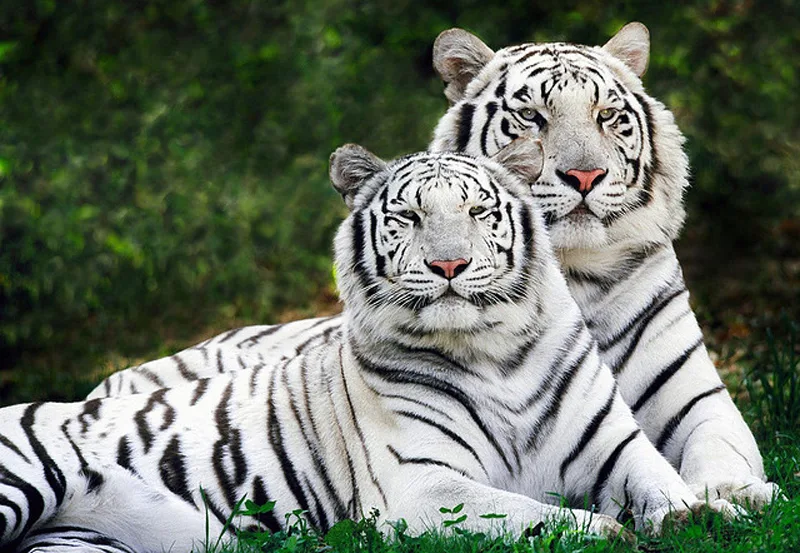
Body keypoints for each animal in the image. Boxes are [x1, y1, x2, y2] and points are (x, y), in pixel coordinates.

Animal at [1, 144, 736, 552]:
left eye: (478, 212)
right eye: (409, 217)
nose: (448, 265)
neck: (495, 351)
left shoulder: (615, 447)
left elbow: (665, 484)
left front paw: (710, 514)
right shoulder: (421, 484)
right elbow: (538, 513)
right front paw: (611, 533)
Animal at [88, 23, 779, 507]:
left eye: (608, 115)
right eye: (531, 116)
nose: (584, 175)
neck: (574, 273)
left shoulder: (698, 399)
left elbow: (723, 450)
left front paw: (737, 496)